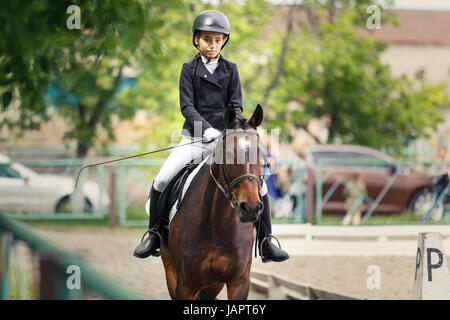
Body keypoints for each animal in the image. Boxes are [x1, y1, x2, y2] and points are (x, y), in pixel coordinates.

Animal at [160, 105, 266, 300]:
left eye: (260, 154)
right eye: (229, 153)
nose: (250, 208)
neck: (218, 226)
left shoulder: (239, 283)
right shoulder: (185, 286)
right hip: (170, 268)